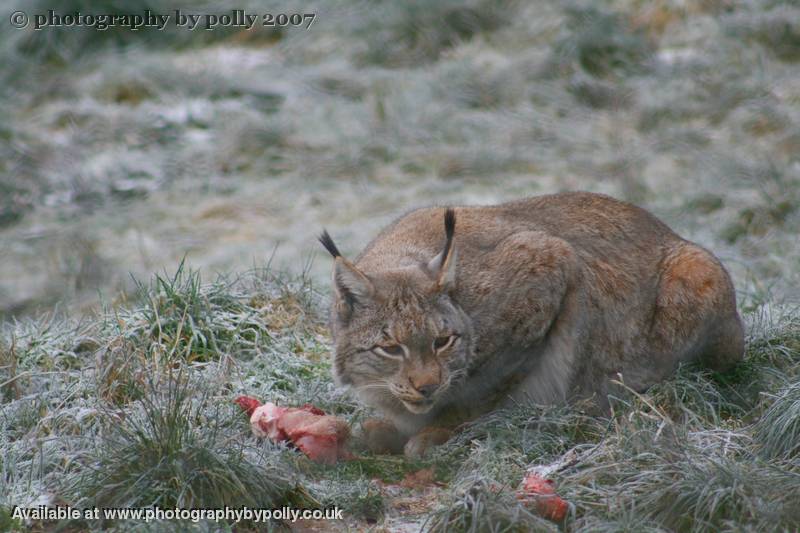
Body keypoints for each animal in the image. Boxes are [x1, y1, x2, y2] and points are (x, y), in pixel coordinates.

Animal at [318, 193, 744, 456]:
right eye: (391, 348)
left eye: (443, 341)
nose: (428, 387)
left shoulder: (551, 262)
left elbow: (485, 388)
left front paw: (437, 430)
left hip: (698, 270)